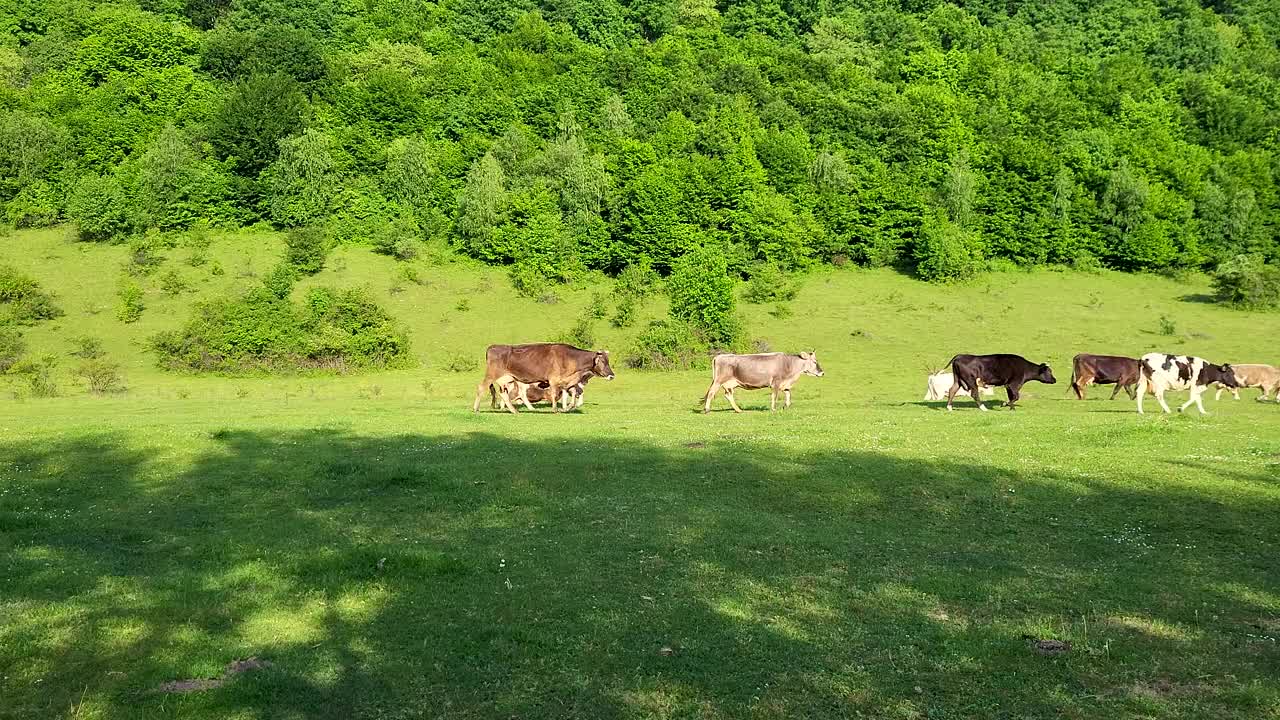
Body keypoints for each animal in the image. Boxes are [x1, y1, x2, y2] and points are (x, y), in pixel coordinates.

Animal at [476, 343, 614, 415]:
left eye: (608, 361)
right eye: (603, 361)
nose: (612, 375)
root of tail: (493, 347)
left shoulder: (568, 382)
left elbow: (574, 397)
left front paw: (566, 408)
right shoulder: (553, 380)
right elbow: (554, 395)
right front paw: (555, 409)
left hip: (507, 379)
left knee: (503, 394)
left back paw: (514, 411)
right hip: (492, 374)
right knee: (481, 388)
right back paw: (476, 409)